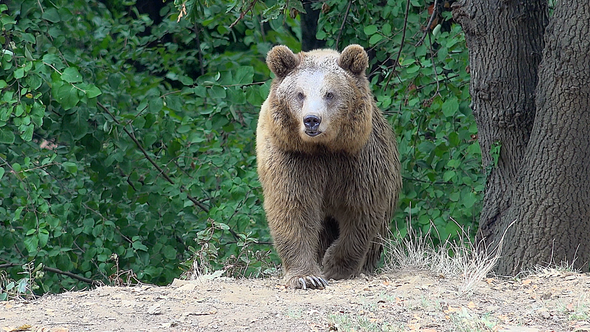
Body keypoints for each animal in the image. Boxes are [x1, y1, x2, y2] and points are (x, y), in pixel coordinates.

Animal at [258, 44, 402, 290]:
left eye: (329, 94)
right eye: (300, 94)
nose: (311, 120)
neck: (324, 149)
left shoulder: (358, 160)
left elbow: (360, 210)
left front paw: (336, 265)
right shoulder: (292, 157)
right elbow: (293, 208)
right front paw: (307, 277)